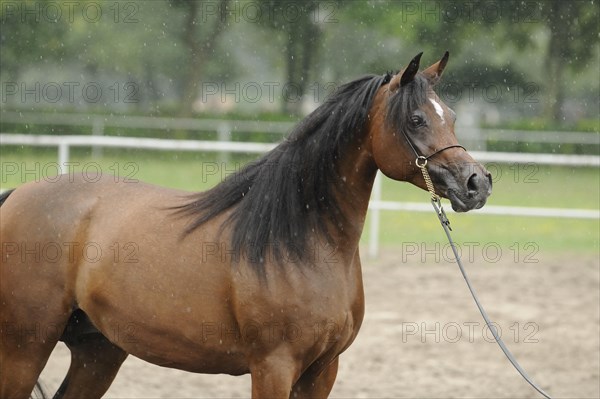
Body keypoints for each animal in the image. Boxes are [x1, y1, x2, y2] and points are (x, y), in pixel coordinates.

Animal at [1, 53, 492, 399]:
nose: (477, 183)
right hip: (26, 346)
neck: (303, 242)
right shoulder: (273, 367)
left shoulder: (322, 371)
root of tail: (18, 195)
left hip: (98, 350)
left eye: (450, 115)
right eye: (416, 118)